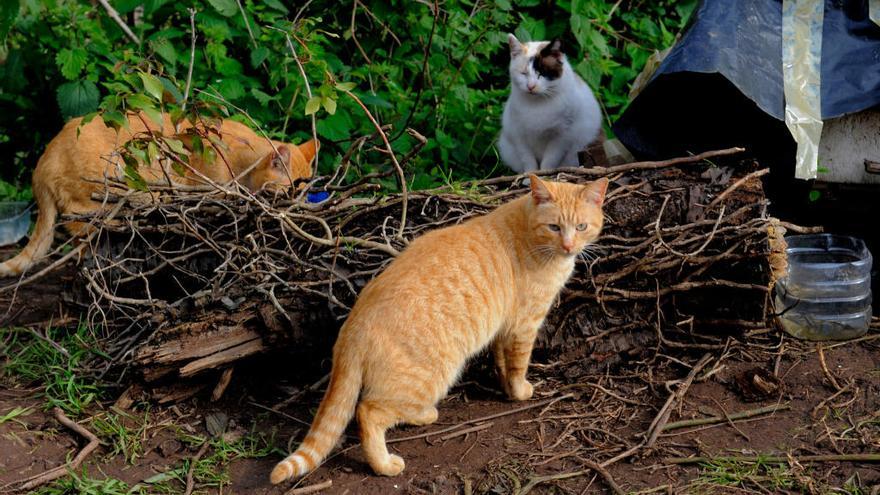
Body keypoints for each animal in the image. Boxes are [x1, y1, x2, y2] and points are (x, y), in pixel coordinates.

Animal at [0, 113, 322, 280]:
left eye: (307, 193)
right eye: (290, 191)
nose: (299, 209)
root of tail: (42, 163)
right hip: (103, 199)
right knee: (85, 236)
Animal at [272, 175, 608, 484]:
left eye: (581, 227)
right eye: (554, 227)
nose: (569, 246)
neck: (528, 233)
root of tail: (352, 326)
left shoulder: (503, 328)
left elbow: (501, 361)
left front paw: (505, 389)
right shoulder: (524, 325)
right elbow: (518, 364)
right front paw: (520, 391)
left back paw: (424, 415)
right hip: (432, 375)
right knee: (368, 413)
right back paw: (384, 464)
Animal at [498, 35, 600, 172]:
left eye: (542, 73)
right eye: (524, 74)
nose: (531, 87)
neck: (538, 105)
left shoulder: (562, 137)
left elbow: (550, 160)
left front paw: (545, 174)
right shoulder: (519, 135)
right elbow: (528, 160)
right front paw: (530, 174)